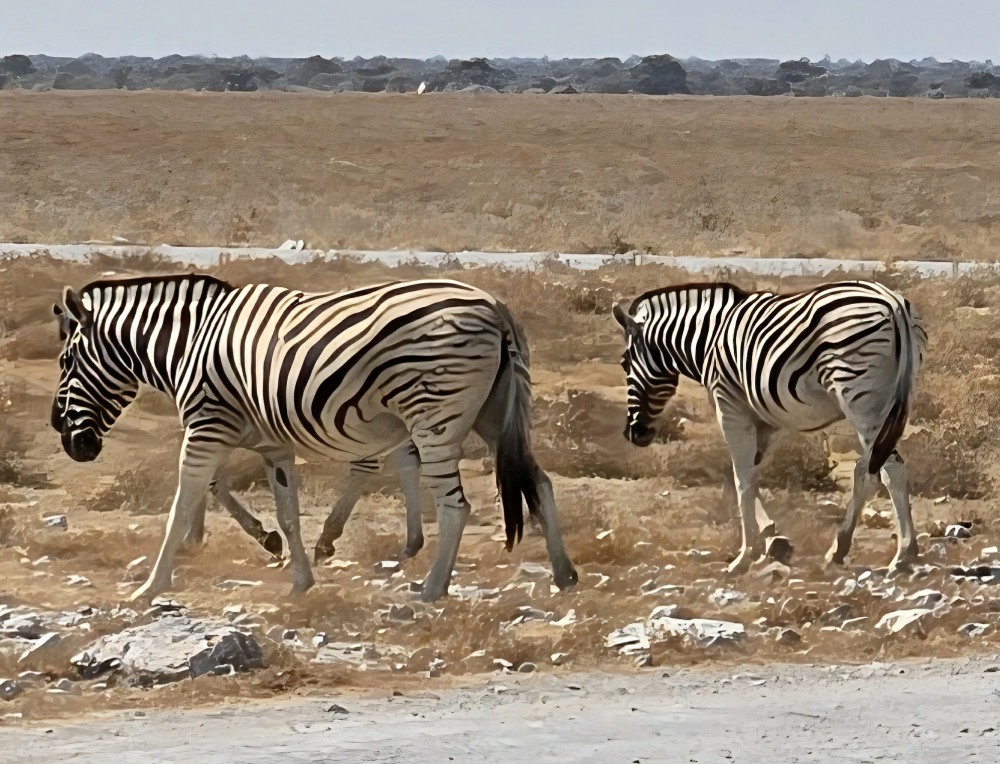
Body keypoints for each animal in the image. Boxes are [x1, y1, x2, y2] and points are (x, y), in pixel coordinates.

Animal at [51, 274, 578, 602]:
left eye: (65, 362)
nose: (67, 438)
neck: (190, 343)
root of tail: (496, 307)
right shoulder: (270, 444)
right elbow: (287, 513)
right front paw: (299, 578)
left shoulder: (207, 426)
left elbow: (184, 501)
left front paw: (153, 585)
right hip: (496, 416)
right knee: (540, 481)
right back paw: (563, 573)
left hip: (433, 414)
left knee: (455, 506)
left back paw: (432, 588)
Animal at [613, 280, 926, 574]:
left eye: (625, 363)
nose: (633, 434)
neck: (709, 338)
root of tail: (892, 302)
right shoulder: (765, 418)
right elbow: (749, 475)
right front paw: (772, 538)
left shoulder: (730, 407)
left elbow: (741, 479)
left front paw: (745, 556)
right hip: (888, 402)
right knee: (869, 469)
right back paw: (842, 549)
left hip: (861, 398)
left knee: (889, 469)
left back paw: (903, 555)